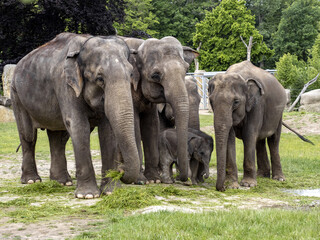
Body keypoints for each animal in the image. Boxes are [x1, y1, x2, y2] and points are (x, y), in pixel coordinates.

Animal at [11, 31, 140, 199]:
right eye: (99, 78)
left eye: (131, 74)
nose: (120, 170)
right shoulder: (65, 84)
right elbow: (79, 126)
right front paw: (88, 195)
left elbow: (108, 131)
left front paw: (111, 192)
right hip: (17, 96)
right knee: (28, 136)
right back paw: (32, 181)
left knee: (58, 138)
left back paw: (62, 182)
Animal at [101, 35, 199, 190]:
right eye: (155, 75)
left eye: (186, 70)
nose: (183, 179)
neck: (139, 45)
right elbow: (135, 125)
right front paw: (141, 180)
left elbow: (151, 125)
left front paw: (154, 180)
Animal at [209, 60, 286, 191]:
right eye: (211, 101)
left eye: (236, 102)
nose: (222, 188)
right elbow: (230, 137)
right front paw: (231, 185)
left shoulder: (257, 104)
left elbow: (249, 134)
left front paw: (248, 184)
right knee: (259, 141)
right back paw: (262, 175)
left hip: (279, 114)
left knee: (273, 141)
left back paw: (279, 178)